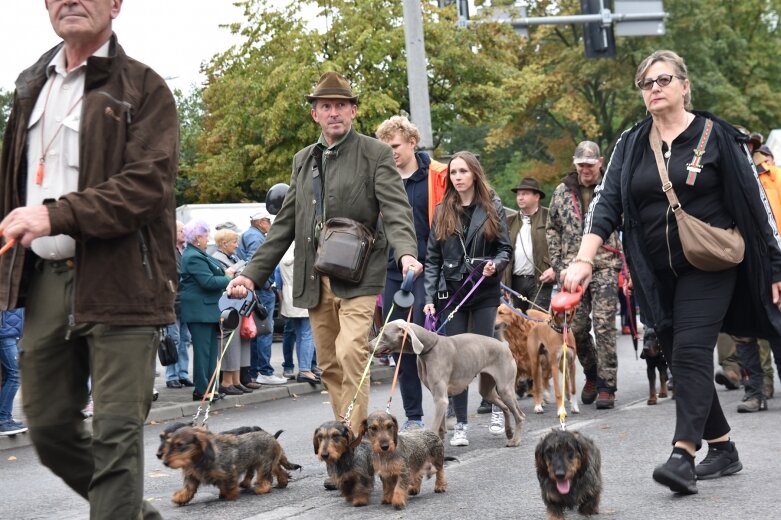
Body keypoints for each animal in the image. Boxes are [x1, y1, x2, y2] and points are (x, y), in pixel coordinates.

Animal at [372, 316, 524, 446]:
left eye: (383, 334)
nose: (368, 346)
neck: (428, 348)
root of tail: (504, 345)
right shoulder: (438, 397)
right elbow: (440, 428)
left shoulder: (441, 399)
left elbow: (434, 428)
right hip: (487, 390)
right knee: (505, 407)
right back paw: (509, 432)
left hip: (505, 388)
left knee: (520, 416)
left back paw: (515, 440)